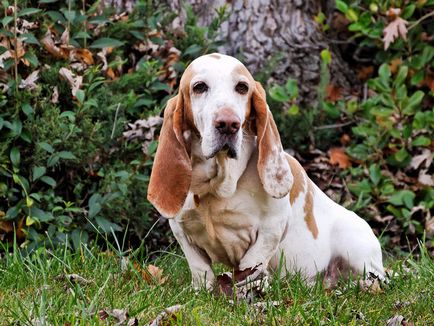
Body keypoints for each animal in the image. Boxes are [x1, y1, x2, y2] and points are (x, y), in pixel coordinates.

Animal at [147, 53, 384, 290]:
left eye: (242, 87)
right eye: (199, 87)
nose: (228, 124)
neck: (218, 185)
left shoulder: (272, 227)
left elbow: (252, 265)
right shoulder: (181, 230)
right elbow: (200, 270)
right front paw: (202, 291)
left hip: (356, 246)